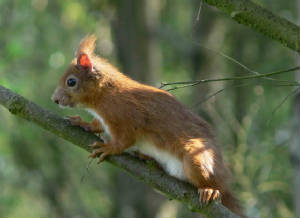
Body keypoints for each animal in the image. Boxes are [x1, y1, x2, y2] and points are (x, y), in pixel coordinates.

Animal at [51, 35, 244, 216]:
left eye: (71, 82)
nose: (54, 100)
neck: (105, 94)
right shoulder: (104, 118)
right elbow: (97, 125)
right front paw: (82, 123)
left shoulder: (126, 116)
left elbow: (124, 140)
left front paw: (108, 147)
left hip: (197, 157)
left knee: (212, 181)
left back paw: (210, 190)